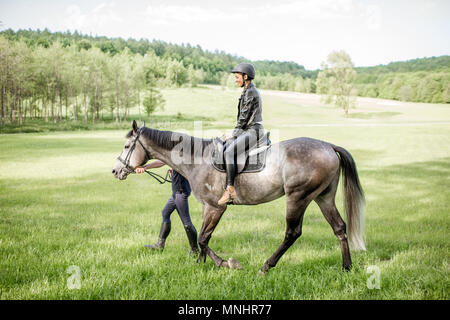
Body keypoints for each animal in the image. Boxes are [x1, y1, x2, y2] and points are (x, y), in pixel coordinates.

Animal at [112, 121, 366, 274]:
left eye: (126, 145)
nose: (116, 171)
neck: (198, 159)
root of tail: (328, 146)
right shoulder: (207, 207)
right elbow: (202, 235)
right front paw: (200, 263)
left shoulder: (216, 207)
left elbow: (203, 238)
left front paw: (226, 263)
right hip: (323, 197)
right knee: (339, 227)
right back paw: (346, 267)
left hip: (298, 197)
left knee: (292, 233)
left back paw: (266, 267)